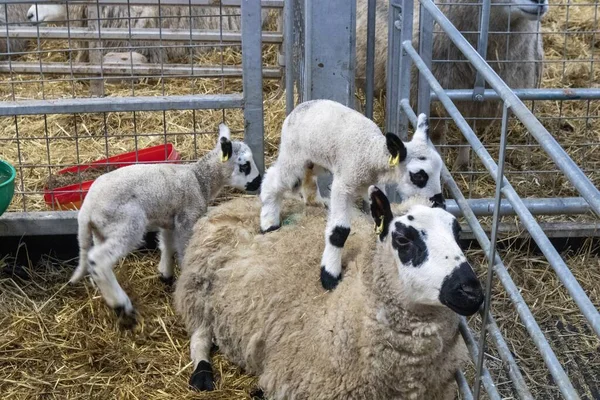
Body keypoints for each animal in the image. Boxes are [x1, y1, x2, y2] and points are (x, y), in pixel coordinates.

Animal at [69, 123, 260, 326]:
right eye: (245, 165)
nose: (258, 182)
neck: (199, 179)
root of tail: (86, 211)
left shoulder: (169, 219)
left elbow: (167, 245)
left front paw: (165, 273)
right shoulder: (187, 217)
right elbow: (183, 250)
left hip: (102, 230)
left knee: (93, 257)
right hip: (127, 223)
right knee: (99, 259)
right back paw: (121, 304)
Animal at [172, 186, 482, 398]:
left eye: (458, 233)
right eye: (403, 239)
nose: (471, 292)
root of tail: (238, 201)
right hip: (198, 286)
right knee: (200, 335)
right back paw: (202, 375)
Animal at [258, 98, 446, 290]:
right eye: (419, 176)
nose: (440, 203)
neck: (370, 152)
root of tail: (302, 105)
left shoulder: (370, 184)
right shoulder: (343, 184)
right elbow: (339, 231)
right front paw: (329, 275)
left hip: (316, 159)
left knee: (309, 175)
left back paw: (314, 201)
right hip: (294, 154)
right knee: (275, 180)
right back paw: (269, 222)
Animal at [356, 0, 548, 167]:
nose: (540, 2)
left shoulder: (479, 103)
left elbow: (469, 133)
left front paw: (463, 164)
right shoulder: (428, 99)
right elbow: (436, 135)